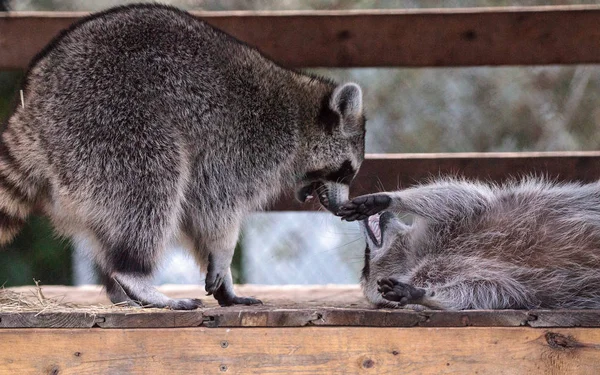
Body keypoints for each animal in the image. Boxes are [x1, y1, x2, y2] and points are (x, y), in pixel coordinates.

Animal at [2, 4, 366, 310]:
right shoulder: (243, 145)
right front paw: (223, 254)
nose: (340, 208)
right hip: (108, 123)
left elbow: (196, 214)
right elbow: (214, 209)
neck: (300, 116)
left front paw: (225, 282)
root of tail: (33, 105)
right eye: (347, 171)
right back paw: (134, 275)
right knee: (151, 184)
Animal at [338, 179, 600, 312]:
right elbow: (488, 290)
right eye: (366, 263)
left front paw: (389, 198)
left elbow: (459, 198)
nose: (367, 222)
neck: (414, 256)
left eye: (365, 257)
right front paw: (424, 295)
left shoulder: (455, 220)